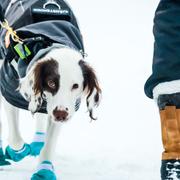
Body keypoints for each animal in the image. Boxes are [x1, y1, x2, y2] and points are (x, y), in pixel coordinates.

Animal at [0, 0, 101, 179]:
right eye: (51, 83)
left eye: (76, 86)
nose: (61, 114)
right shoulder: (8, 92)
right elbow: (15, 138)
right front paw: (17, 151)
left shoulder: (57, 108)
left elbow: (50, 141)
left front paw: (43, 171)